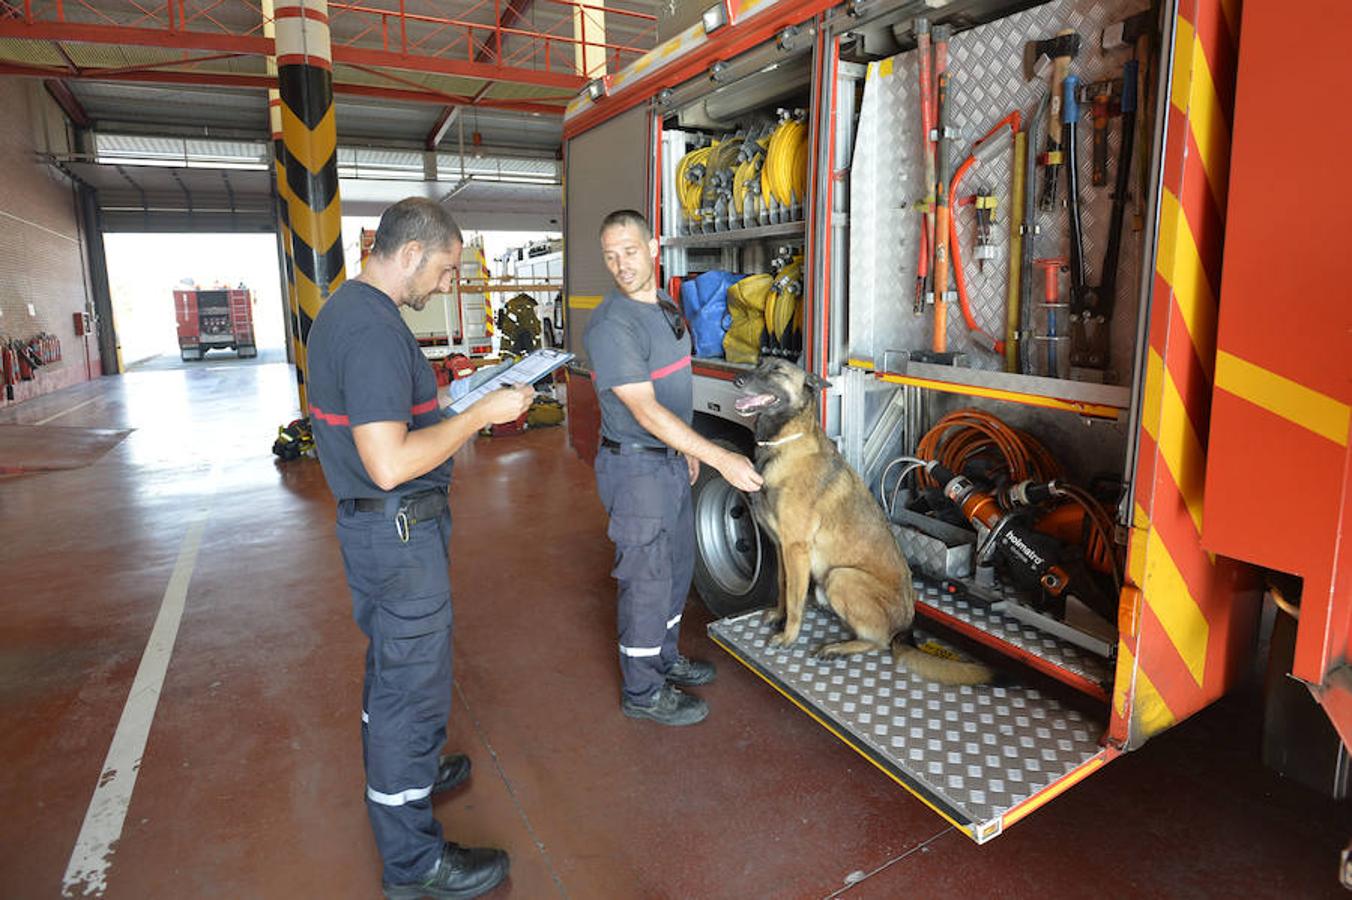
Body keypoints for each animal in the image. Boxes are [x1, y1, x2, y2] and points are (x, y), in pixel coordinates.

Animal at [735, 356, 989, 681]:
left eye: (777, 370)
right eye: (758, 364)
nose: (738, 380)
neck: (784, 444)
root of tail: (904, 629)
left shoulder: (796, 549)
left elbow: (794, 599)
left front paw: (788, 636)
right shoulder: (783, 549)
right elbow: (783, 587)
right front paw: (779, 616)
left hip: (841, 576)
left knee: (879, 642)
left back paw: (838, 647)